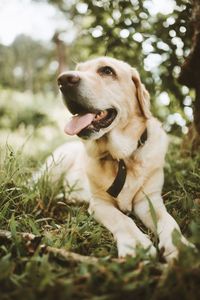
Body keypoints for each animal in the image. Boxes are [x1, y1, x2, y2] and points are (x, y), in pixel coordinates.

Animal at [36, 56, 192, 262]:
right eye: (79, 69)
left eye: (107, 71)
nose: (63, 80)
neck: (122, 158)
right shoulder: (99, 203)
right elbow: (122, 219)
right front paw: (136, 245)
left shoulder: (149, 200)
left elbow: (168, 219)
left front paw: (181, 247)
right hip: (54, 167)